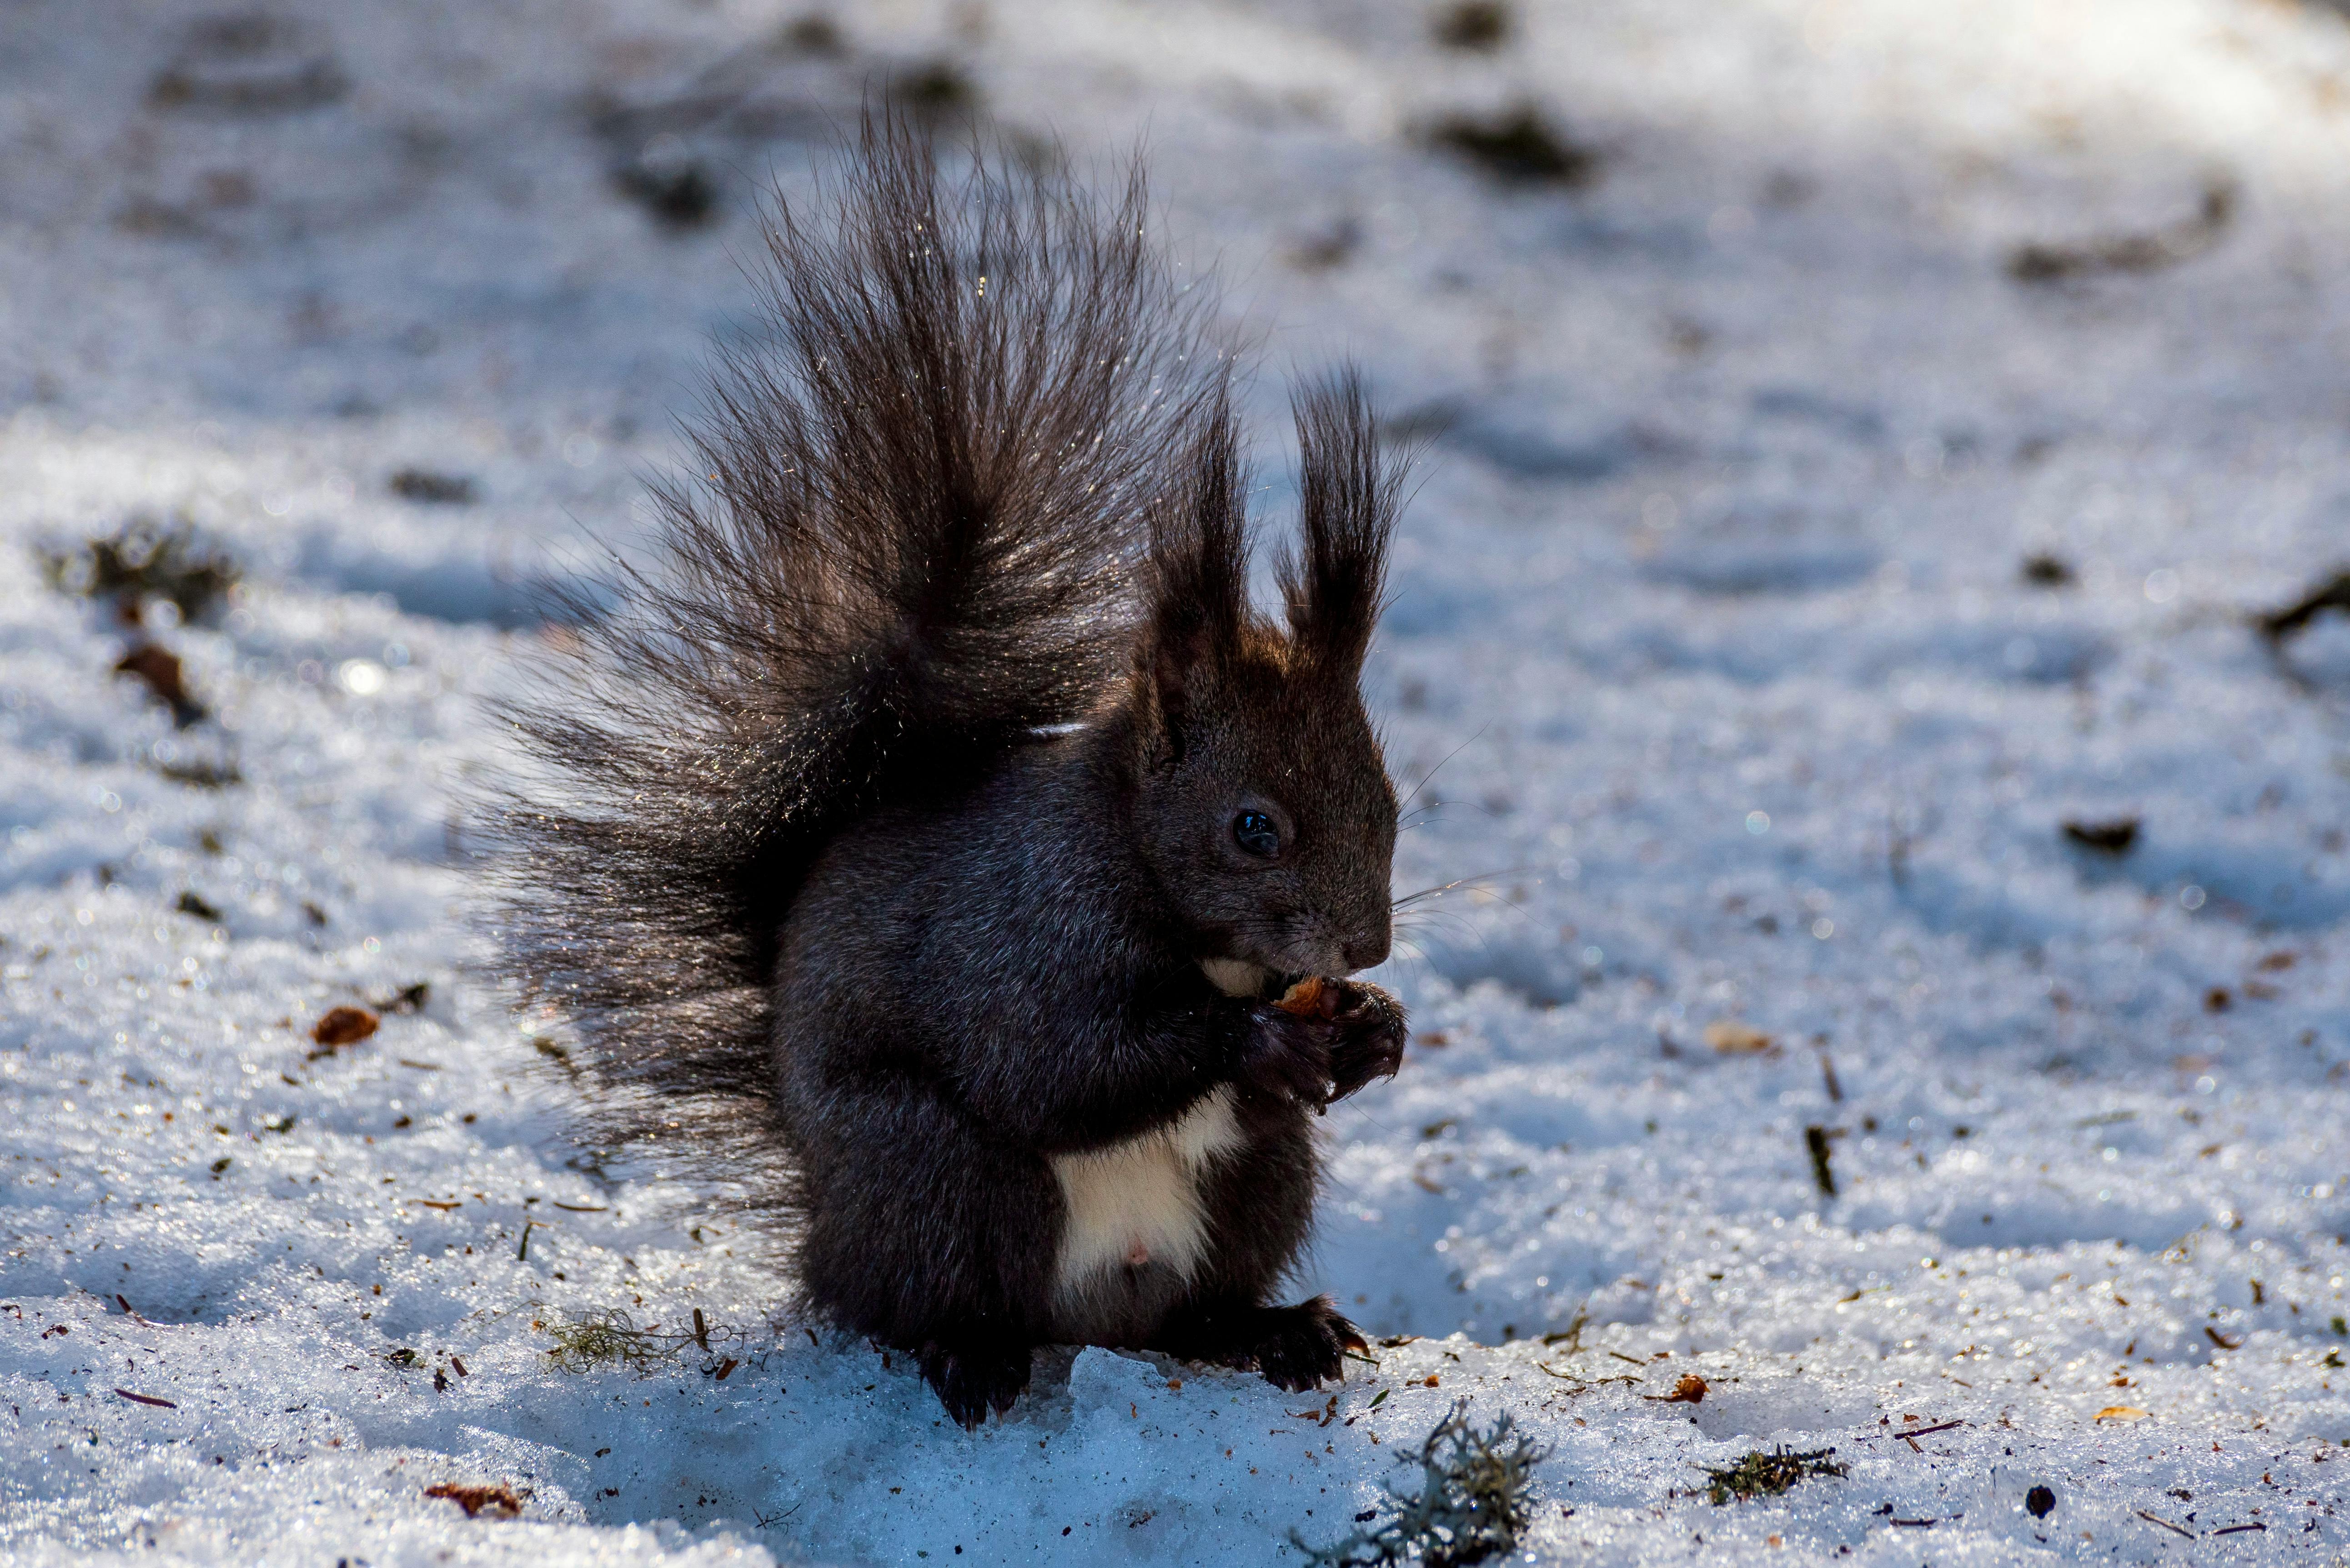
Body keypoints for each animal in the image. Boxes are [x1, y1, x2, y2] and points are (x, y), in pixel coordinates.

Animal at [496, 116, 1401, 1429]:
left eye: (1389, 803)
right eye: (1252, 827)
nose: (1366, 948)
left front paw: (1378, 1032)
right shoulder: (1018, 940)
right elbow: (1054, 1069)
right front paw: (1259, 1045)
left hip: (1258, 1180)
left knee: (1192, 1314)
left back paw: (1274, 1328)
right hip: (941, 1173)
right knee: (918, 1296)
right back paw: (970, 1355)